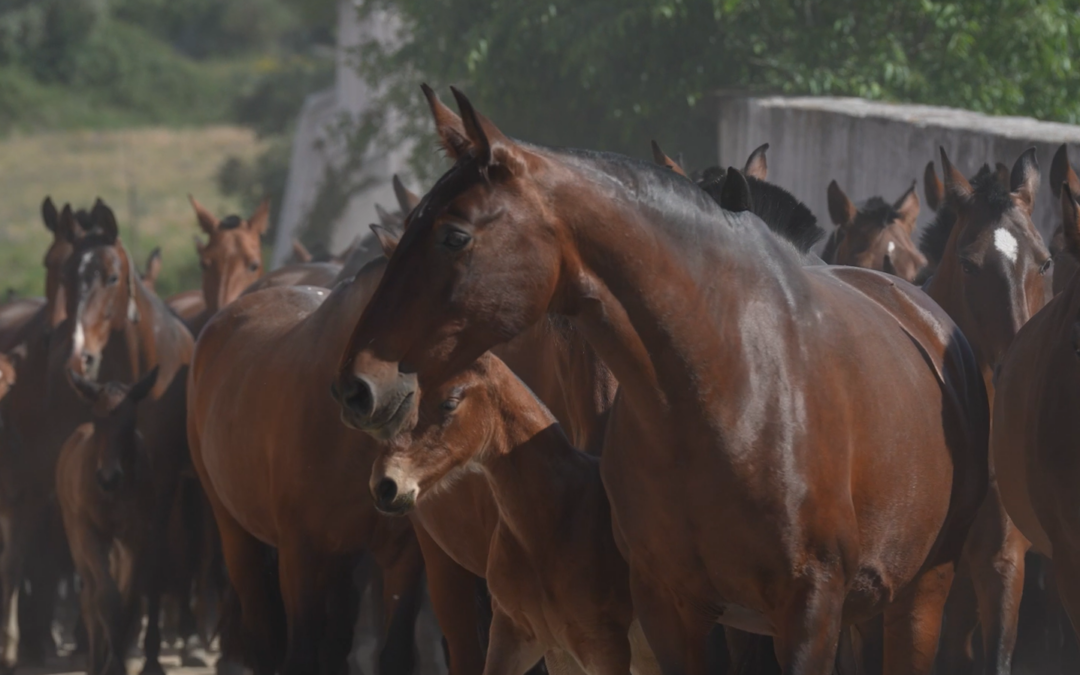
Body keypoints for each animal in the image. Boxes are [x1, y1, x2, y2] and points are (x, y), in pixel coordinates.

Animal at [56, 367, 159, 675]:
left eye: (130, 421)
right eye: (97, 419)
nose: (108, 478)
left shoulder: (136, 535)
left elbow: (128, 600)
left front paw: (117, 660)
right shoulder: (89, 533)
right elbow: (105, 598)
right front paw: (110, 664)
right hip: (75, 534)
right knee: (89, 597)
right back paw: (94, 661)